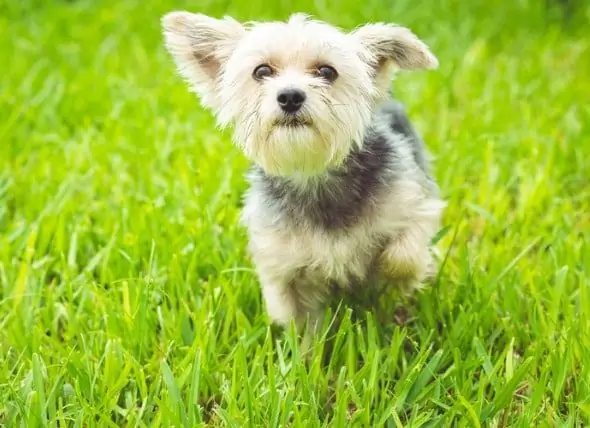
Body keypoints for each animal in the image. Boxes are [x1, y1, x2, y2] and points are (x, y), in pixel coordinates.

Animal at [162, 10, 448, 344]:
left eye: (327, 71)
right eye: (262, 71)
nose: (289, 96)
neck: (313, 176)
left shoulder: (418, 207)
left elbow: (402, 256)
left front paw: (390, 276)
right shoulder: (284, 273)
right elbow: (302, 335)